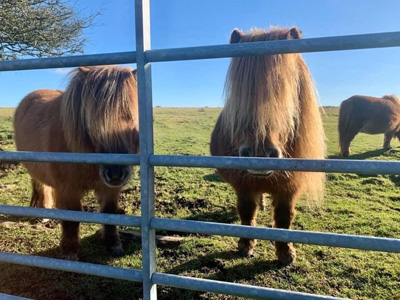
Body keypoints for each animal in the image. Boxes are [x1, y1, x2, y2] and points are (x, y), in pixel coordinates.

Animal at [13, 65, 139, 260]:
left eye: (131, 117)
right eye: (92, 123)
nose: (116, 174)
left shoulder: (109, 188)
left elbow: (109, 212)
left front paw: (114, 245)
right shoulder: (68, 188)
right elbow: (71, 220)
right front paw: (70, 253)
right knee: (42, 187)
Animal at [209, 27, 324, 264]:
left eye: (287, 89)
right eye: (240, 93)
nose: (258, 152)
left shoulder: (290, 187)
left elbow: (284, 217)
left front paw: (286, 253)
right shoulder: (242, 184)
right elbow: (246, 211)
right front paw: (245, 245)